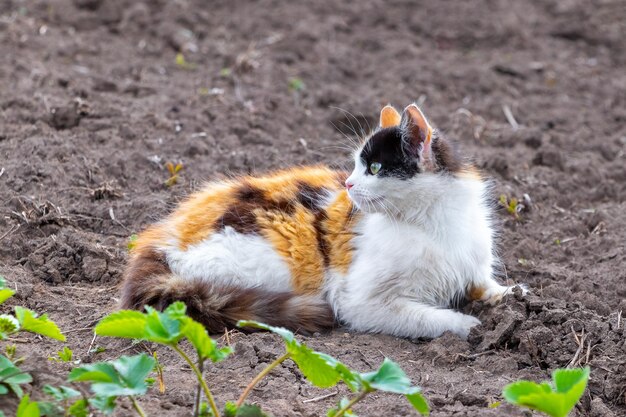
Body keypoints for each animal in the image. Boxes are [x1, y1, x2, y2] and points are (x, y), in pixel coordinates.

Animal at [118, 102, 520, 340]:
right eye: (357, 166)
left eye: (374, 167)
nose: (348, 184)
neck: (432, 224)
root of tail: (163, 234)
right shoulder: (362, 302)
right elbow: (429, 318)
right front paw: (470, 326)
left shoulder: (472, 263)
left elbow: (484, 283)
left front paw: (510, 296)